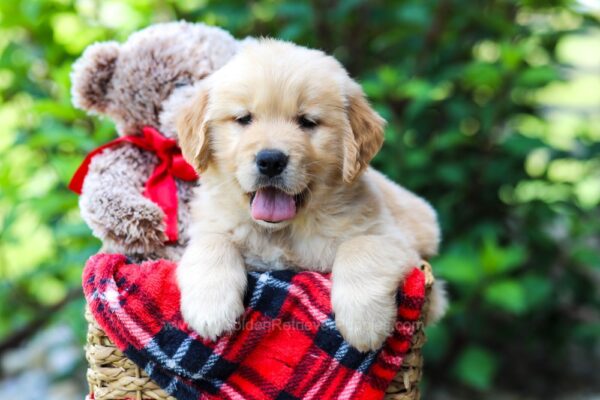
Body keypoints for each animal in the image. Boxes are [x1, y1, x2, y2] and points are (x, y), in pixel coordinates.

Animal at [176, 37, 442, 350]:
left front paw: (364, 323)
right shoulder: (209, 225)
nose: (271, 160)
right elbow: (212, 242)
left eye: (307, 121)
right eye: (243, 119)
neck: (283, 233)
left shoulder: (397, 242)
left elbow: (362, 246)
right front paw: (210, 309)